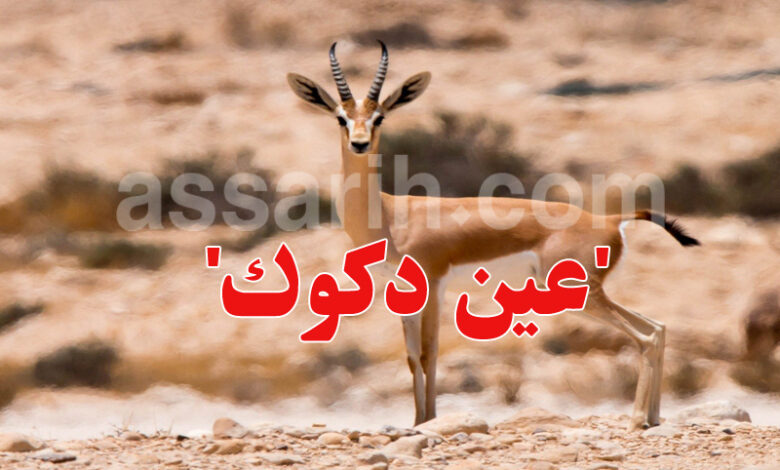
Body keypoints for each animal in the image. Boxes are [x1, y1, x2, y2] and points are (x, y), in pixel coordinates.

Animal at [287, 41, 700, 429]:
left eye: (380, 117)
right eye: (341, 117)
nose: (359, 143)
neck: (390, 216)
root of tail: (611, 219)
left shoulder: (433, 285)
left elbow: (429, 353)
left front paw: (429, 420)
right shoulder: (403, 292)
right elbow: (411, 357)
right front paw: (417, 421)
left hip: (580, 294)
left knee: (646, 336)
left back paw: (637, 419)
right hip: (588, 294)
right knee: (658, 328)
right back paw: (654, 418)